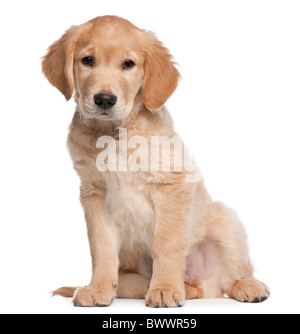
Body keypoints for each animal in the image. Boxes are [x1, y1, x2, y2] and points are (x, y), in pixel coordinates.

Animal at [42, 16, 270, 308]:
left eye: (128, 64)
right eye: (87, 60)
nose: (104, 99)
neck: (114, 134)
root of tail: (203, 282)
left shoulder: (172, 183)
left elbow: (166, 243)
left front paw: (165, 288)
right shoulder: (93, 194)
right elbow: (101, 247)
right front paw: (98, 289)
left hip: (226, 223)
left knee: (231, 276)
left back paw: (246, 286)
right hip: (129, 278)